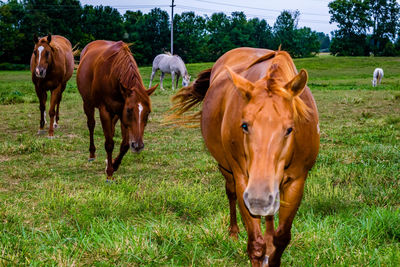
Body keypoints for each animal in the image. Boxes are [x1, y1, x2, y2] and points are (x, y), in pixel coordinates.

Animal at [76, 40, 157, 180]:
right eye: (129, 110)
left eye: (148, 112)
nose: (138, 146)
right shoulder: (106, 111)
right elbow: (109, 143)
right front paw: (109, 173)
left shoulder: (121, 113)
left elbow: (124, 144)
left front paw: (113, 164)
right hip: (87, 103)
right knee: (91, 125)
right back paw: (92, 154)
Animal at [170, 47, 320, 266]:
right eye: (244, 125)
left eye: (290, 129)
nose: (259, 199)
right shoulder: (243, 180)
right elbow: (256, 245)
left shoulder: (297, 181)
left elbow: (281, 238)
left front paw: (272, 250)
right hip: (226, 169)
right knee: (231, 194)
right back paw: (233, 232)